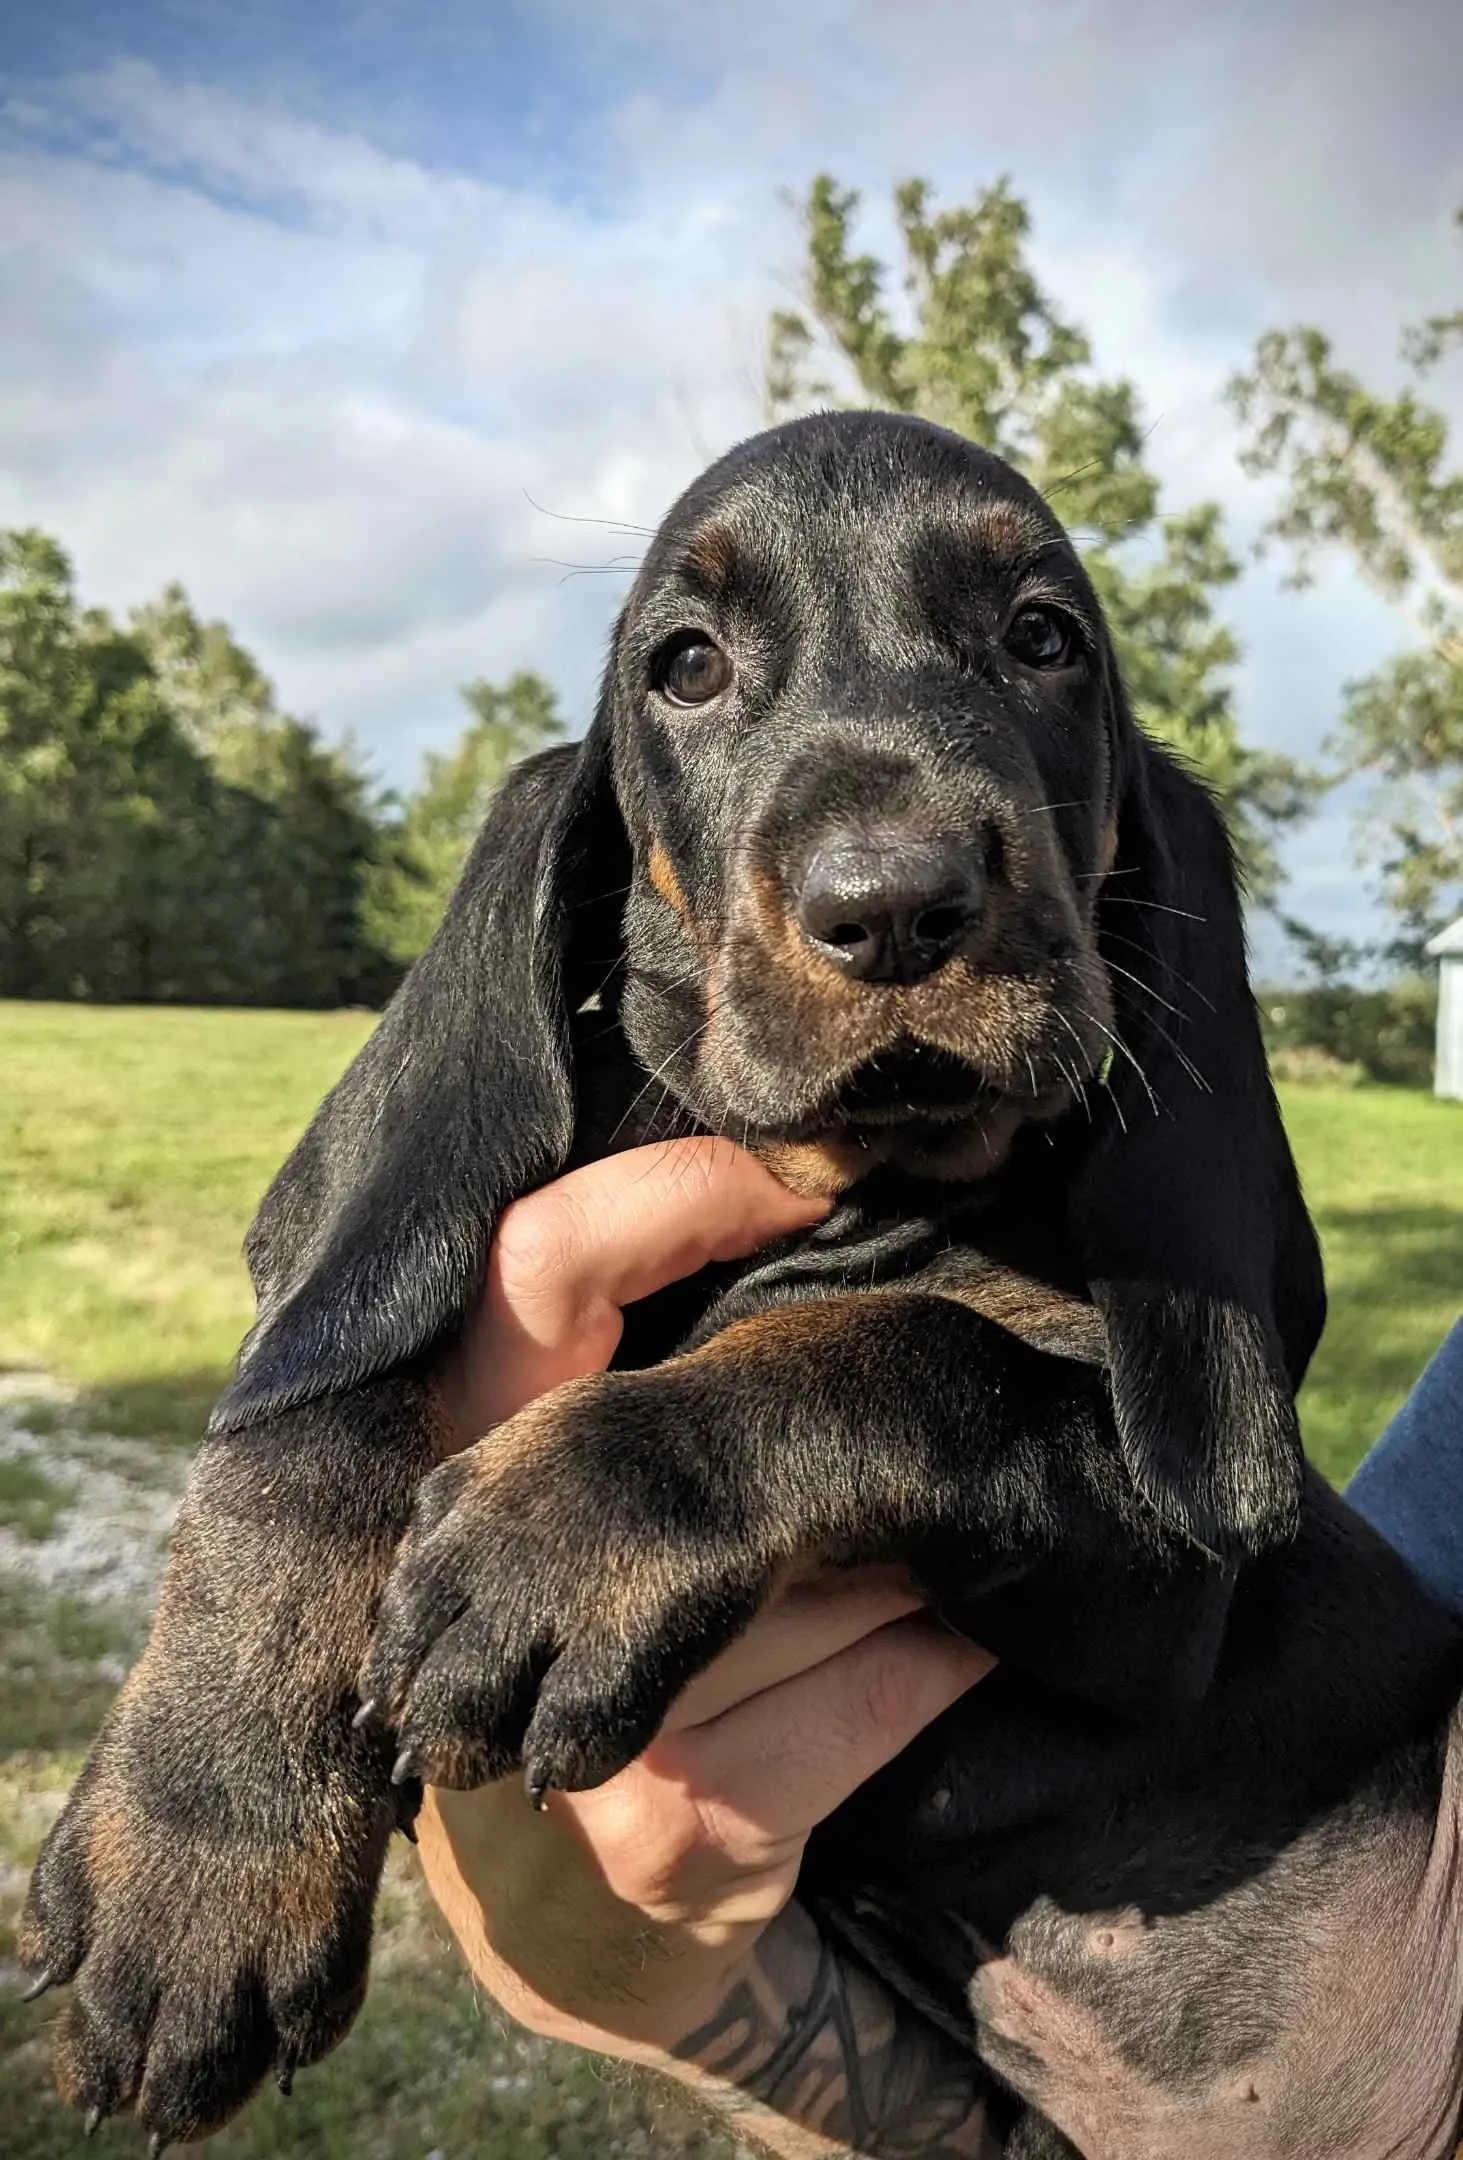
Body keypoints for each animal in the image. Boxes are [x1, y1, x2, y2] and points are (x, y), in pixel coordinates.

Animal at [19, 412, 1460, 2151]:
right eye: (687, 666)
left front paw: (565, 1525)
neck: (841, 1190)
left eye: (1041, 639)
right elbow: (330, 1391)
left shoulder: (1174, 1565)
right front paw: (203, 1848)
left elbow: (913, 1351)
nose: (892, 903)